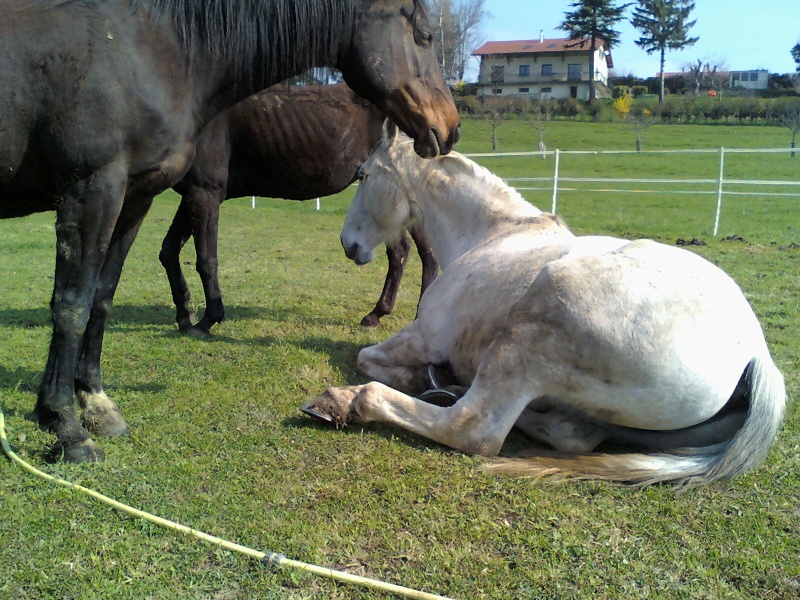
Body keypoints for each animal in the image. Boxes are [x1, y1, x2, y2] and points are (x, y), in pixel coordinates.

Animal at [162, 82, 438, 338]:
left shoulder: (205, 192)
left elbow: (206, 260)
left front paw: (207, 320)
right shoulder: (192, 195)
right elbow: (168, 251)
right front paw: (185, 315)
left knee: (419, 255)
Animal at [302, 122, 788, 488]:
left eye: (363, 174)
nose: (348, 243)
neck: (491, 235)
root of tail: (755, 354)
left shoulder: (420, 337)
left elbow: (367, 358)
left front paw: (414, 376)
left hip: (532, 328)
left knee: (475, 428)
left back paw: (348, 401)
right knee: (573, 433)